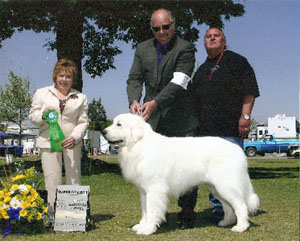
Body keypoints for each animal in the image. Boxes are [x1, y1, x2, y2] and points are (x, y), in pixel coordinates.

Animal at [103, 113, 258, 235]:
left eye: (119, 124)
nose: (103, 131)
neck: (139, 145)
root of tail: (238, 149)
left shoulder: (154, 189)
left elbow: (152, 210)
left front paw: (148, 229)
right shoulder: (143, 191)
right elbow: (145, 210)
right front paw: (142, 225)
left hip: (226, 185)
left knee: (241, 206)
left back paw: (241, 227)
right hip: (216, 188)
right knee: (228, 207)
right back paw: (226, 222)